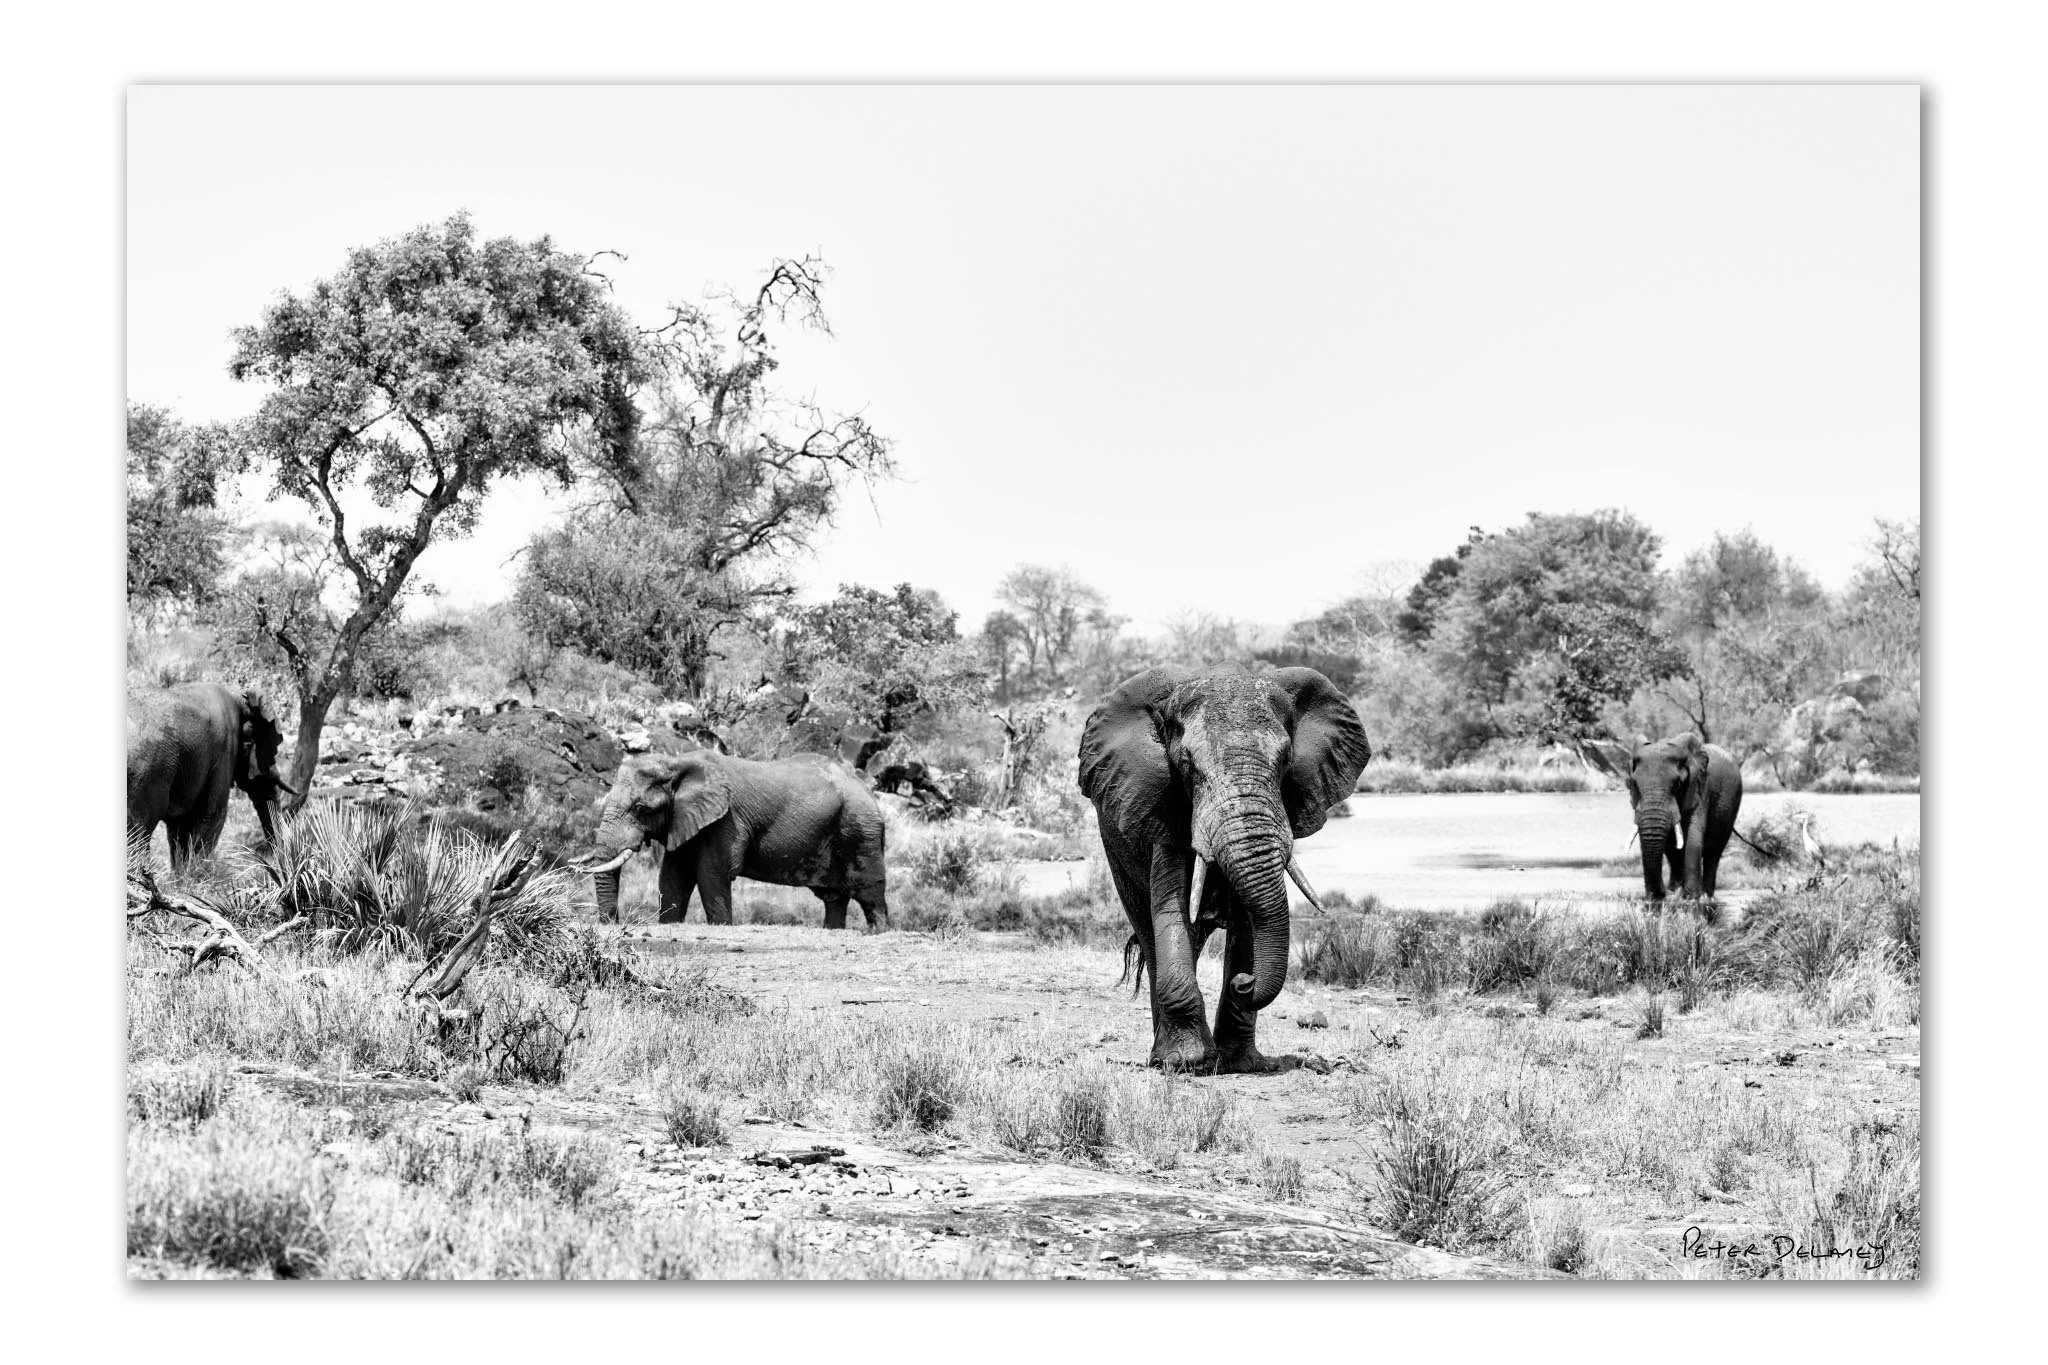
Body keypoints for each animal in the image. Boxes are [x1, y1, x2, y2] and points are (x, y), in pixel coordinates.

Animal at [127, 683, 296, 870]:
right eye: (251, 743)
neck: (239, 696)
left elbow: (180, 826)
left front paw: (183, 875)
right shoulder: (223, 752)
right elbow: (212, 814)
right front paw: (193, 874)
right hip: (145, 773)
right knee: (139, 832)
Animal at [581, 749, 889, 929]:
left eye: (641, 809)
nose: (611, 923)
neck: (676, 763)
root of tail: (866, 787)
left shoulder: (726, 820)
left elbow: (711, 873)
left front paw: (720, 926)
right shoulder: (684, 819)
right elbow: (673, 876)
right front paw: (669, 923)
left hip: (861, 830)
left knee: (869, 892)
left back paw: (879, 930)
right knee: (834, 898)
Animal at [1078, 667, 1372, 1073]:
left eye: (1286, 759)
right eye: (1187, 765)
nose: (1245, 982)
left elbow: (1249, 922)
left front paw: (1239, 1063)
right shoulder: (1165, 808)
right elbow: (1171, 909)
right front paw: (1187, 1061)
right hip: (1116, 845)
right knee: (1150, 931)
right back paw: (1162, 1056)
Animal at [1578, 733, 1744, 901]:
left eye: (1677, 784)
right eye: (1634, 784)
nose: (1661, 894)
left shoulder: (1699, 788)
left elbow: (1693, 836)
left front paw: (1691, 899)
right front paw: (1668, 897)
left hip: (1732, 803)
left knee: (1714, 853)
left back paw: (1706, 897)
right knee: (1674, 851)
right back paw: (1677, 891)